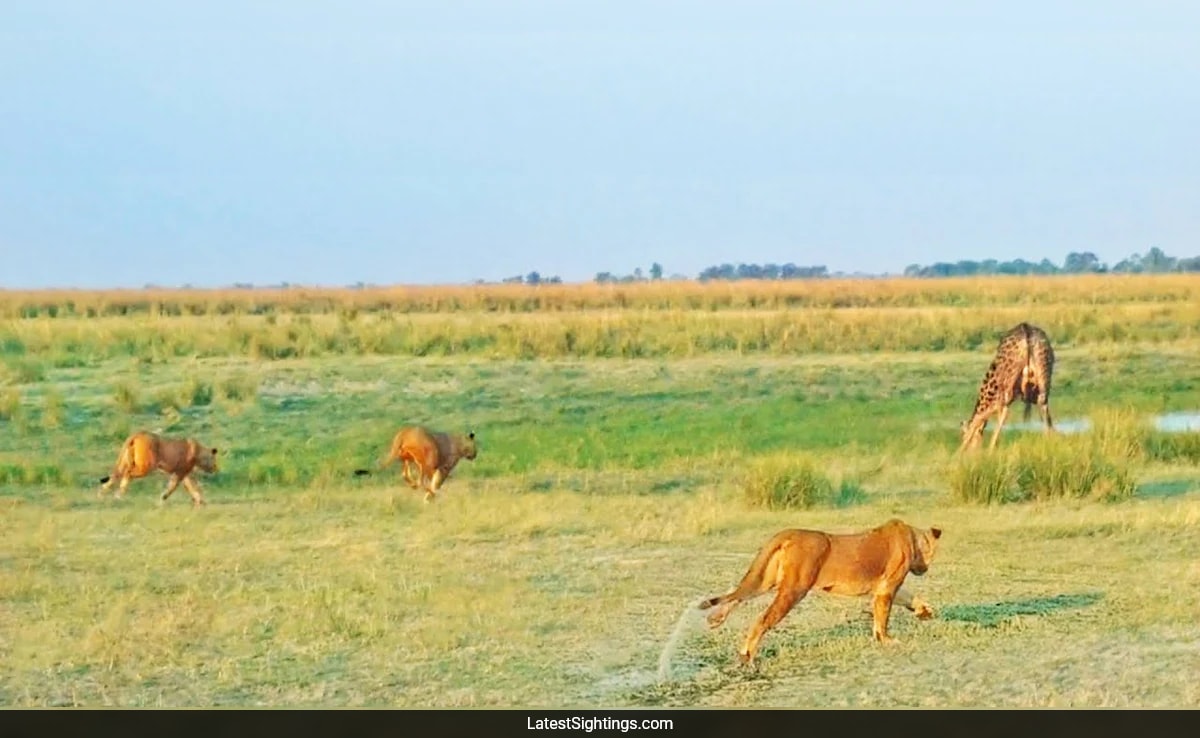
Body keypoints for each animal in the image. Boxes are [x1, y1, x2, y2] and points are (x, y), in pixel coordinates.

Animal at [698, 518, 943, 665]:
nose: (924, 570)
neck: (914, 540)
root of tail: (788, 533)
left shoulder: (884, 587)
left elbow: (909, 597)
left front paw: (925, 611)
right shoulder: (887, 586)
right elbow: (882, 617)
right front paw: (887, 640)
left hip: (765, 579)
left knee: (738, 594)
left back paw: (715, 619)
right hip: (794, 589)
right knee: (761, 619)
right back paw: (746, 655)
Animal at [959, 322, 1055, 452]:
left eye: (963, 435)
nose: (973, 452)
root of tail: (1027, 331)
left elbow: (981, 418)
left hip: (1008, 384)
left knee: (1003, 412)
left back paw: (991, 446)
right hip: (1044, 376)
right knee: (1044, 404)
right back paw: (1048, 441)